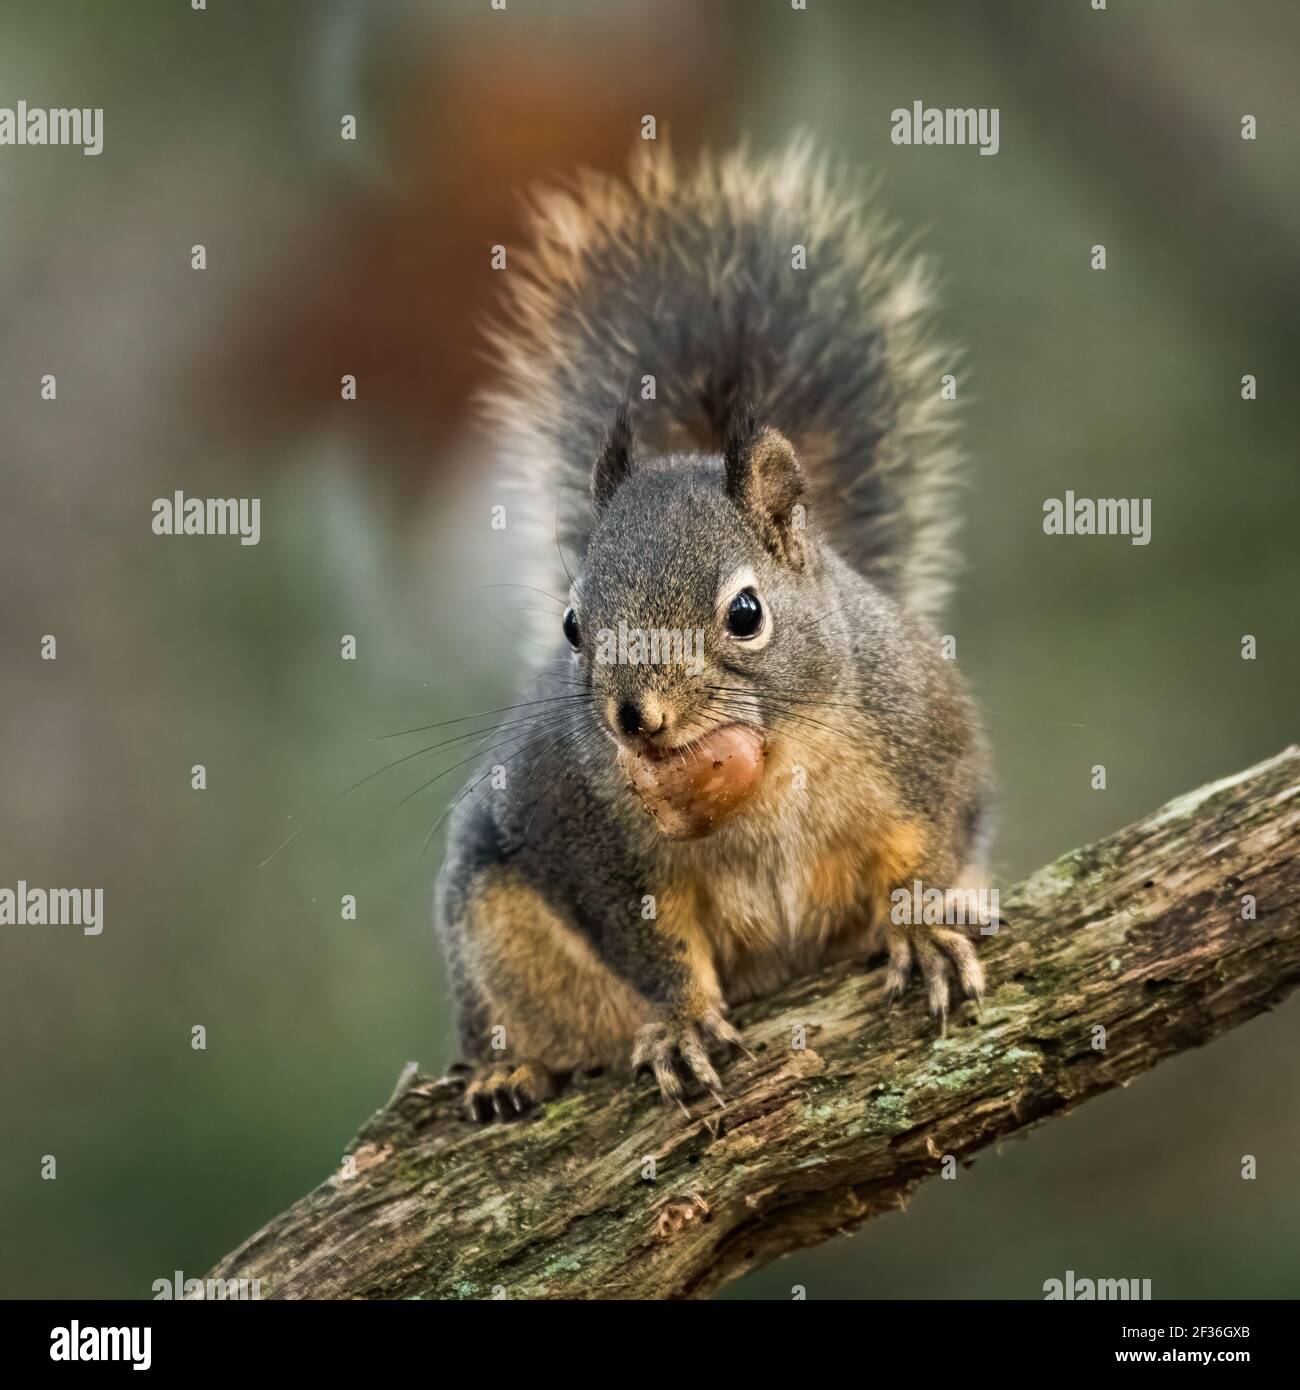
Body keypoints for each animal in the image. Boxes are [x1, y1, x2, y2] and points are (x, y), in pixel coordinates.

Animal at [435, 140, 992, 1122]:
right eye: (572, 625)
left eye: (746, 614)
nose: (634, 719)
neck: (768, 769)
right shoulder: (589, 840)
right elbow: (653, 950)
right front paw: (685, 1023)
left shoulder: (930, 740)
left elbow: (931, 844)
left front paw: (924, 933)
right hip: (491, 929)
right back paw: (509, 1073)